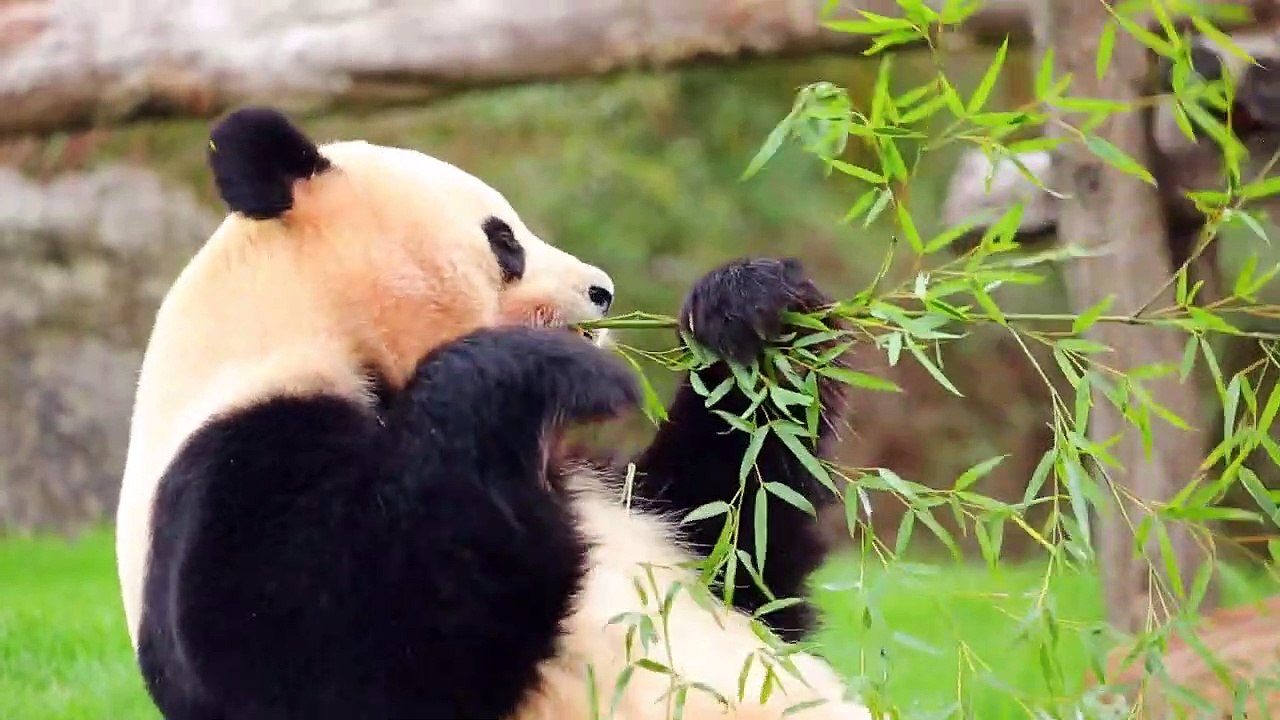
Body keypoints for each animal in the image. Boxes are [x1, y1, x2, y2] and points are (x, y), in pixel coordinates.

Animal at [114, 106, 870, 720]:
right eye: (504, 239)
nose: (602, 292)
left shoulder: (611, 491)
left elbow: (742, 540)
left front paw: (751, 303)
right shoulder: (231, 453)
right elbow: (325, 641)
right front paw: (550, 367)